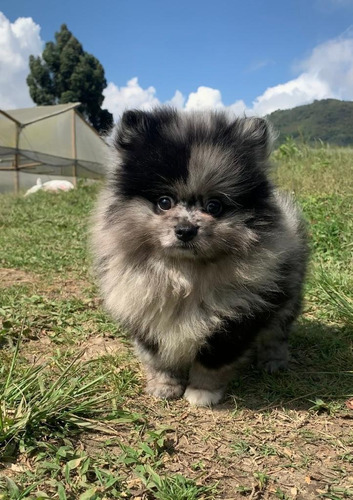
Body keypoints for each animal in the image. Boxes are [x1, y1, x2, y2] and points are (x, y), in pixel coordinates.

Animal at [92, 108, 306, 406]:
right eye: (164, 202)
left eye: (214, 206)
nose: (185, 230)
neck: (184, 274)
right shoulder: (144, 310)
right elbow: (160, 359)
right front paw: (165, 386)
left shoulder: (235, 318)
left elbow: (212, 362)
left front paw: (202, 393)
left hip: (287, 297)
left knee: (277, 332)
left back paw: (273, 362)